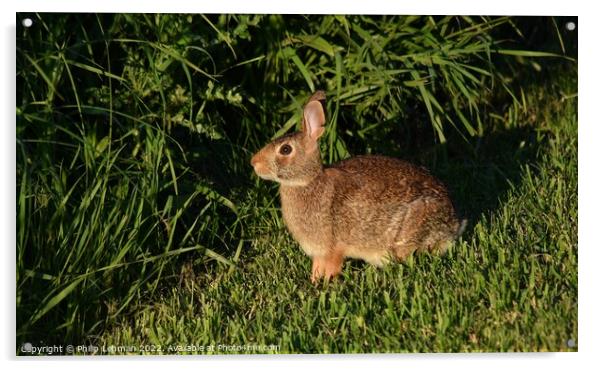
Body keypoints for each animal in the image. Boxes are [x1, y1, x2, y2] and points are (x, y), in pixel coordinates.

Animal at [248, 90, 464, 282]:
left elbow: (332, 267)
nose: (254, 163)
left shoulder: (334, 248)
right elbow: (317, 267)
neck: (308, 180)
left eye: (285, 150)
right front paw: (314, 282)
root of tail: (453, 224)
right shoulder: (319, 252)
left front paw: (325, 286)